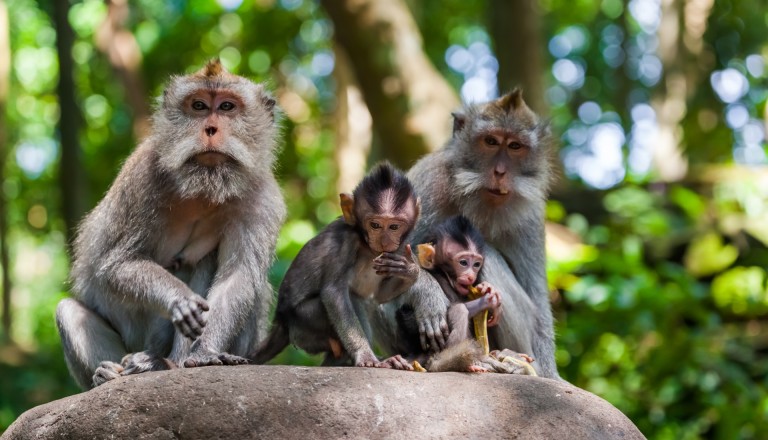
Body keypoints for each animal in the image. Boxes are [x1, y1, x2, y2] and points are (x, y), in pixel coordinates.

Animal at [56, 59, 284, 388]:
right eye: (199, 106)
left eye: (227, 106)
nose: (210, 128)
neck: (203, 186)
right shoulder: (142, 177)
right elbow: (117, 263)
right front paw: (180, 299)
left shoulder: (263, 200)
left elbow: (238, 277)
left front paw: (204, 353)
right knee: (69, 312)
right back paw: (109, 374)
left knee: (215, 265)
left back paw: (164, 364)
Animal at [250, 163, 420, 370]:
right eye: (375, 225)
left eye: (394, 227)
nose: (385, 241)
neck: (365, 245)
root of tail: (282, 322)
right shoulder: (344, 243)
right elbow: (334, 293)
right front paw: (365, 355)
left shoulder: (398, 249)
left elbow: (379, 296)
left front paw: (410, 270)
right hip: (303, 324)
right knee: (351, 299)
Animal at [378, 89, 560, 378]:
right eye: (491, 141)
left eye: (515, 146)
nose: (500, 172)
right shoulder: (428, 182)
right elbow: (384, 257)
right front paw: (428, 295)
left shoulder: (531, 214)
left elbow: (537, 301)